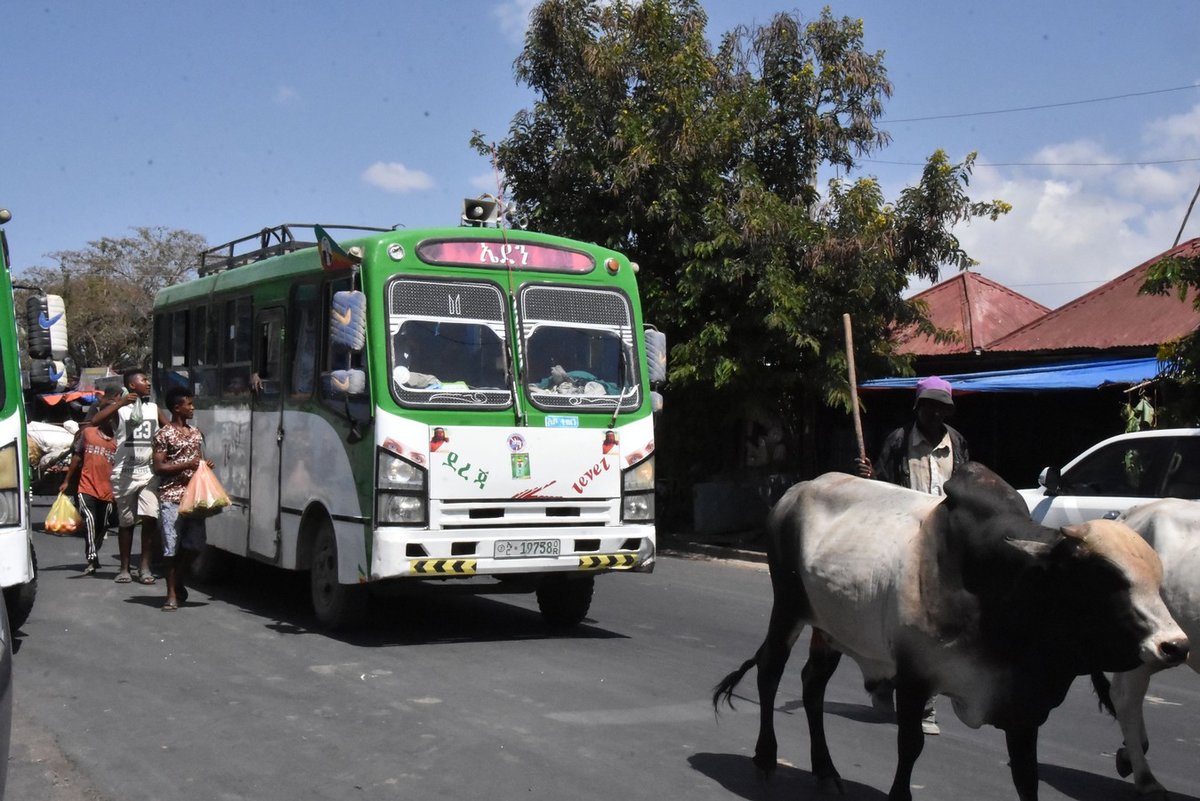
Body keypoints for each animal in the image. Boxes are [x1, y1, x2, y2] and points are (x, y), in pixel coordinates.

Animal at [715, 462, 1185, 801]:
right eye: (1104, 579)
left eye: (1157, 578)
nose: (1175, 646)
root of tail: (795, 490)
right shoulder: (915, 677)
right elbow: (909, 748)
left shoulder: (1023, 710)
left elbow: (1027, 777)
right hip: (788, 606)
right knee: (770, 671)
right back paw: (765, 760)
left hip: (829, 628)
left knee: (812, 685)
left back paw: (826, 772)